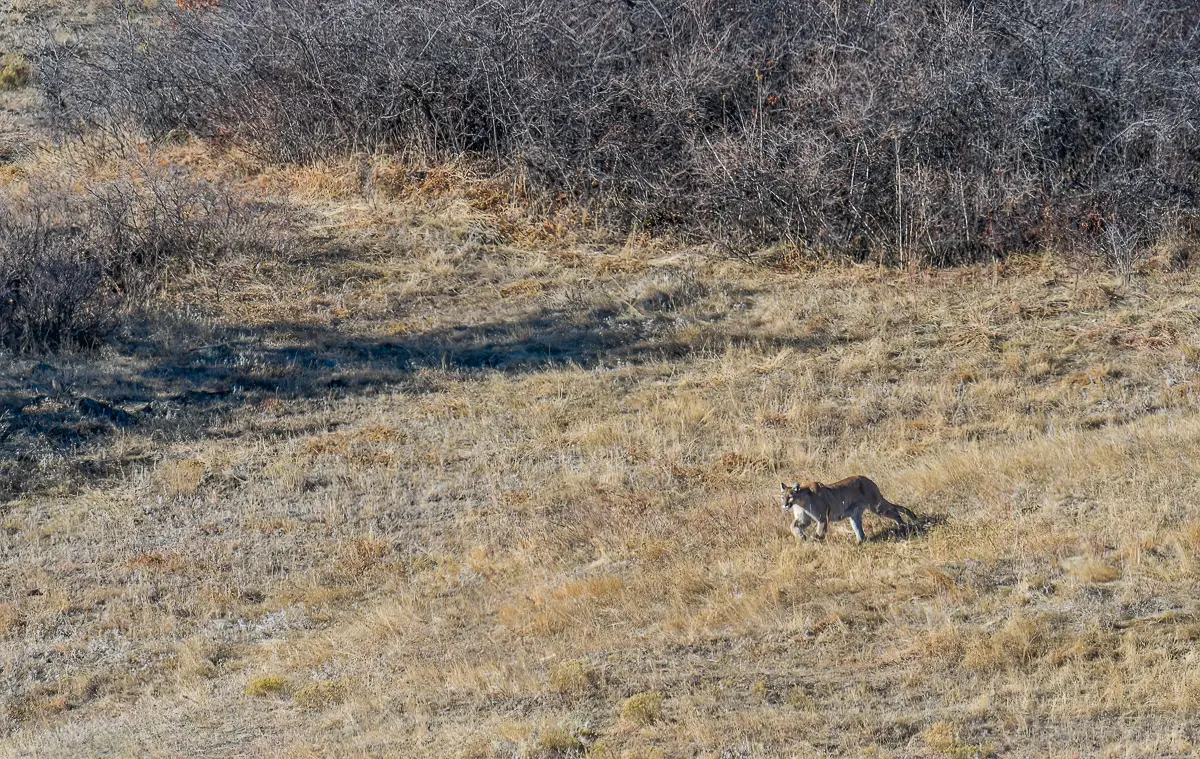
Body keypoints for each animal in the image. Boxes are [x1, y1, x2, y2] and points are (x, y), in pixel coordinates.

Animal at [779, 476, 917, 544]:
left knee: (894, 510)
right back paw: (859, 542)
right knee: (859, 528)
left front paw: (814, 540)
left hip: (876, 506)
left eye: (790, 497)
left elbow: (820, 531)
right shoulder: (804, 519)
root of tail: (867, 478)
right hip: (855, 513)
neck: (801, 502)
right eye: (782, 497)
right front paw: (801, 537)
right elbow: (793, 525)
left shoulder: (823, 518)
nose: (784, 505)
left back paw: (902, 526)